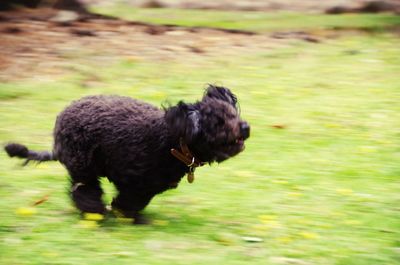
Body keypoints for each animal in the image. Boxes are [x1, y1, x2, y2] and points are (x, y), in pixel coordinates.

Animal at [4, 85, 250, 223]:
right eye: (218, 123)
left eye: (233, 115)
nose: (245, 127)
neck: (172, 142)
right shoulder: (133, 180)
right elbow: (128, 201)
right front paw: (127, 216)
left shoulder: (144, 187)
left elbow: (133, 202)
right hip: (83, 164)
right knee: (84, 190)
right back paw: (95, 213)